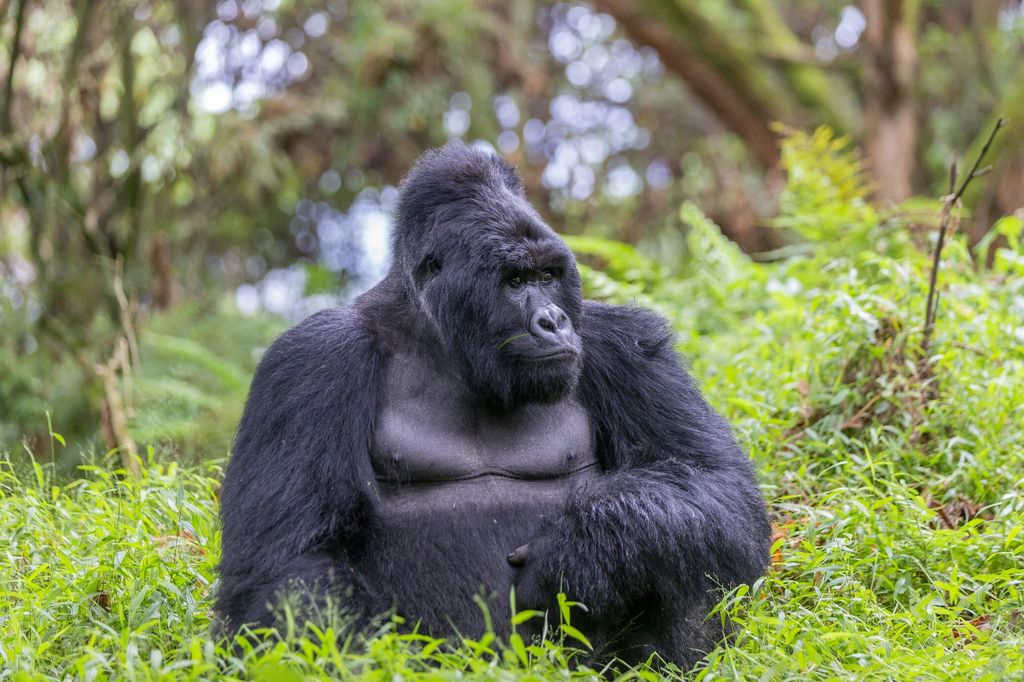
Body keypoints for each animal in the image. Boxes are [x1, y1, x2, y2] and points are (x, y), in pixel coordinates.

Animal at [218, 140, 774, 667]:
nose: (553, 320)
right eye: (516, 281)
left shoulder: (623, 344)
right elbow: (289, 561)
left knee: (684, 542)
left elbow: (716, 485)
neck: (439, 338)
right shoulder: (311, 360)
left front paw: (580, 552)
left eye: (548, 276)